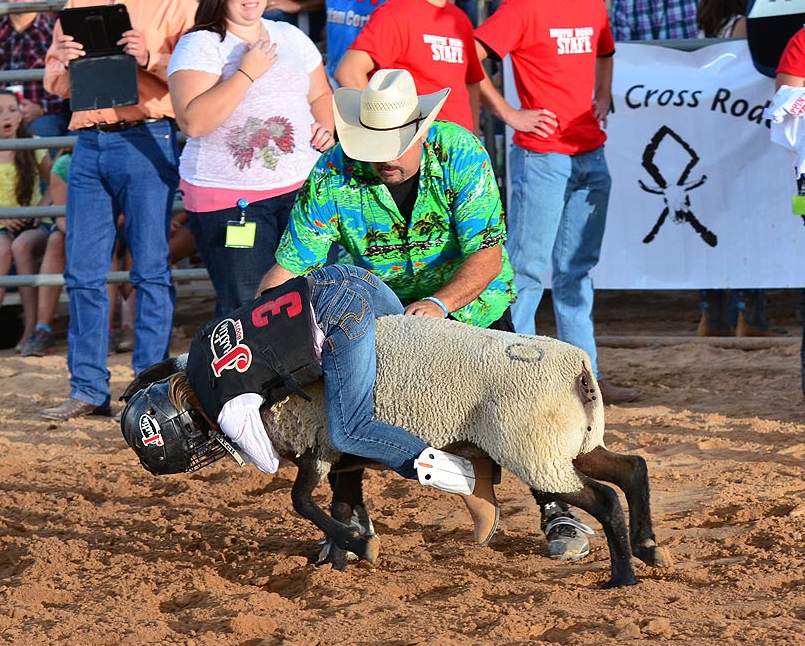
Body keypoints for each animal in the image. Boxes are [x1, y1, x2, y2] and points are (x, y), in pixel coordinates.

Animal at [122, 316, 668, 588]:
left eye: (157, 429)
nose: (151, 463)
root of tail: (579, 370)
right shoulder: (340, 457)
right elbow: (341, 505)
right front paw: (337, 564)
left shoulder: (318, 446)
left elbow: (302, 502)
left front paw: (355, 547)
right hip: (570, 443)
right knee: (632, 469)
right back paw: (648, 548)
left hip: (535, 448)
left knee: (605, 498)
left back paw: (621, 577)